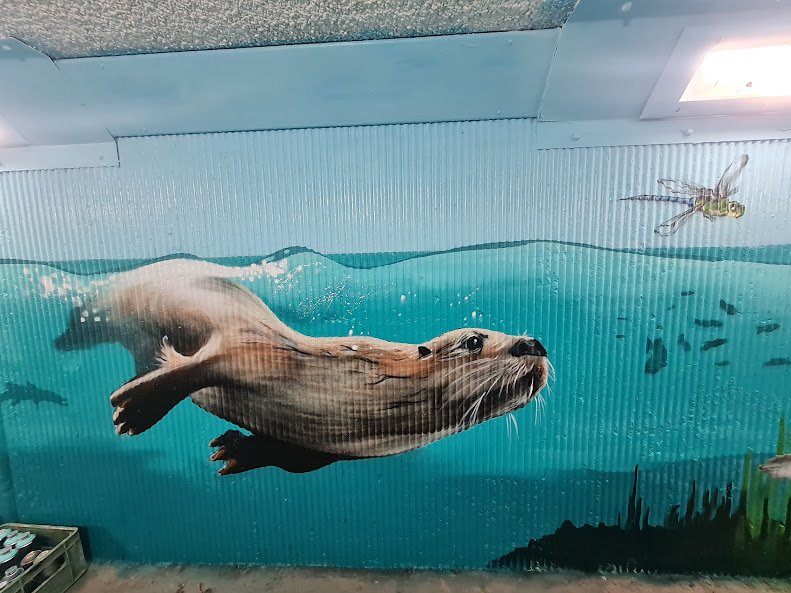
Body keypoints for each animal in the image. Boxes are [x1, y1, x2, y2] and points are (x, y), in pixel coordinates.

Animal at [54, 259, 549, 475]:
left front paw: (235, 450)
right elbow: (197, 366)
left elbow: (294, 460)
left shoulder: (328, 446)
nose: (536, 343)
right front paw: (132, 411)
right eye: (474, 341)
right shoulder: (251, 348)